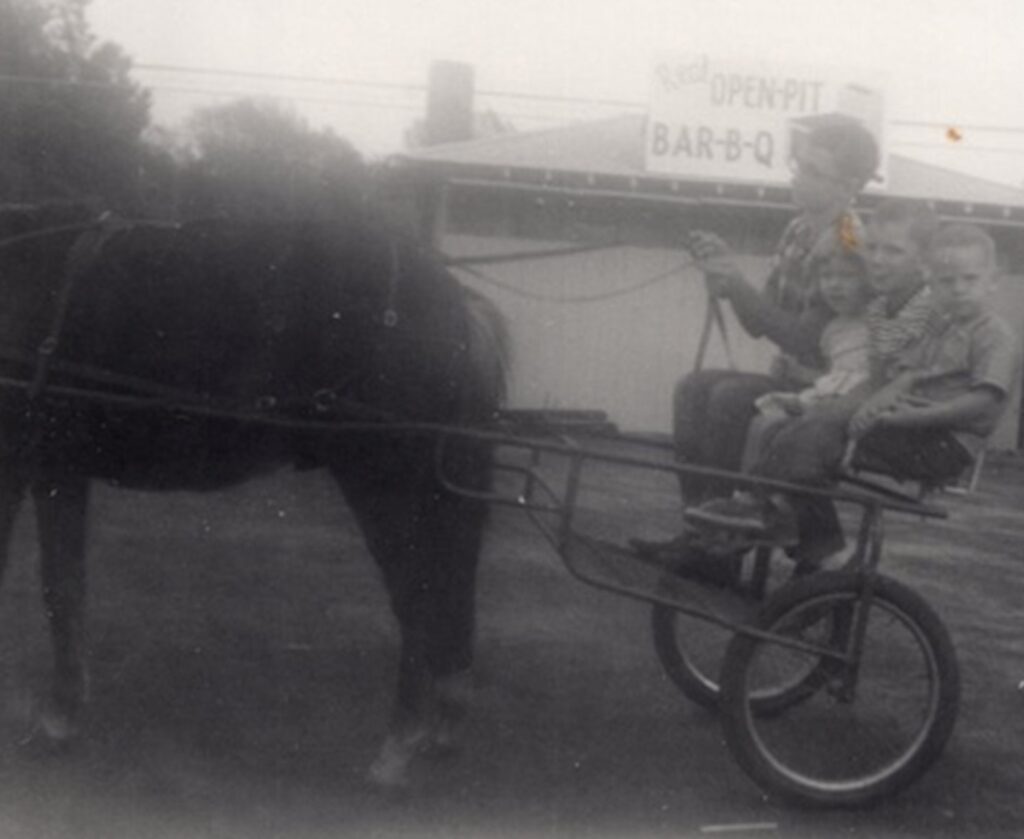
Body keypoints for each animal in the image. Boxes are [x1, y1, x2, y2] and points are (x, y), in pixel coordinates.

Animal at [0, 203, 507, 786]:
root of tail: (452, 298)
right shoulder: (55, 468)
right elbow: (63, 588)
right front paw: (61, 716)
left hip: (385, 484)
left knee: (419, 596)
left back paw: (397, 747)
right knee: (445, 589)